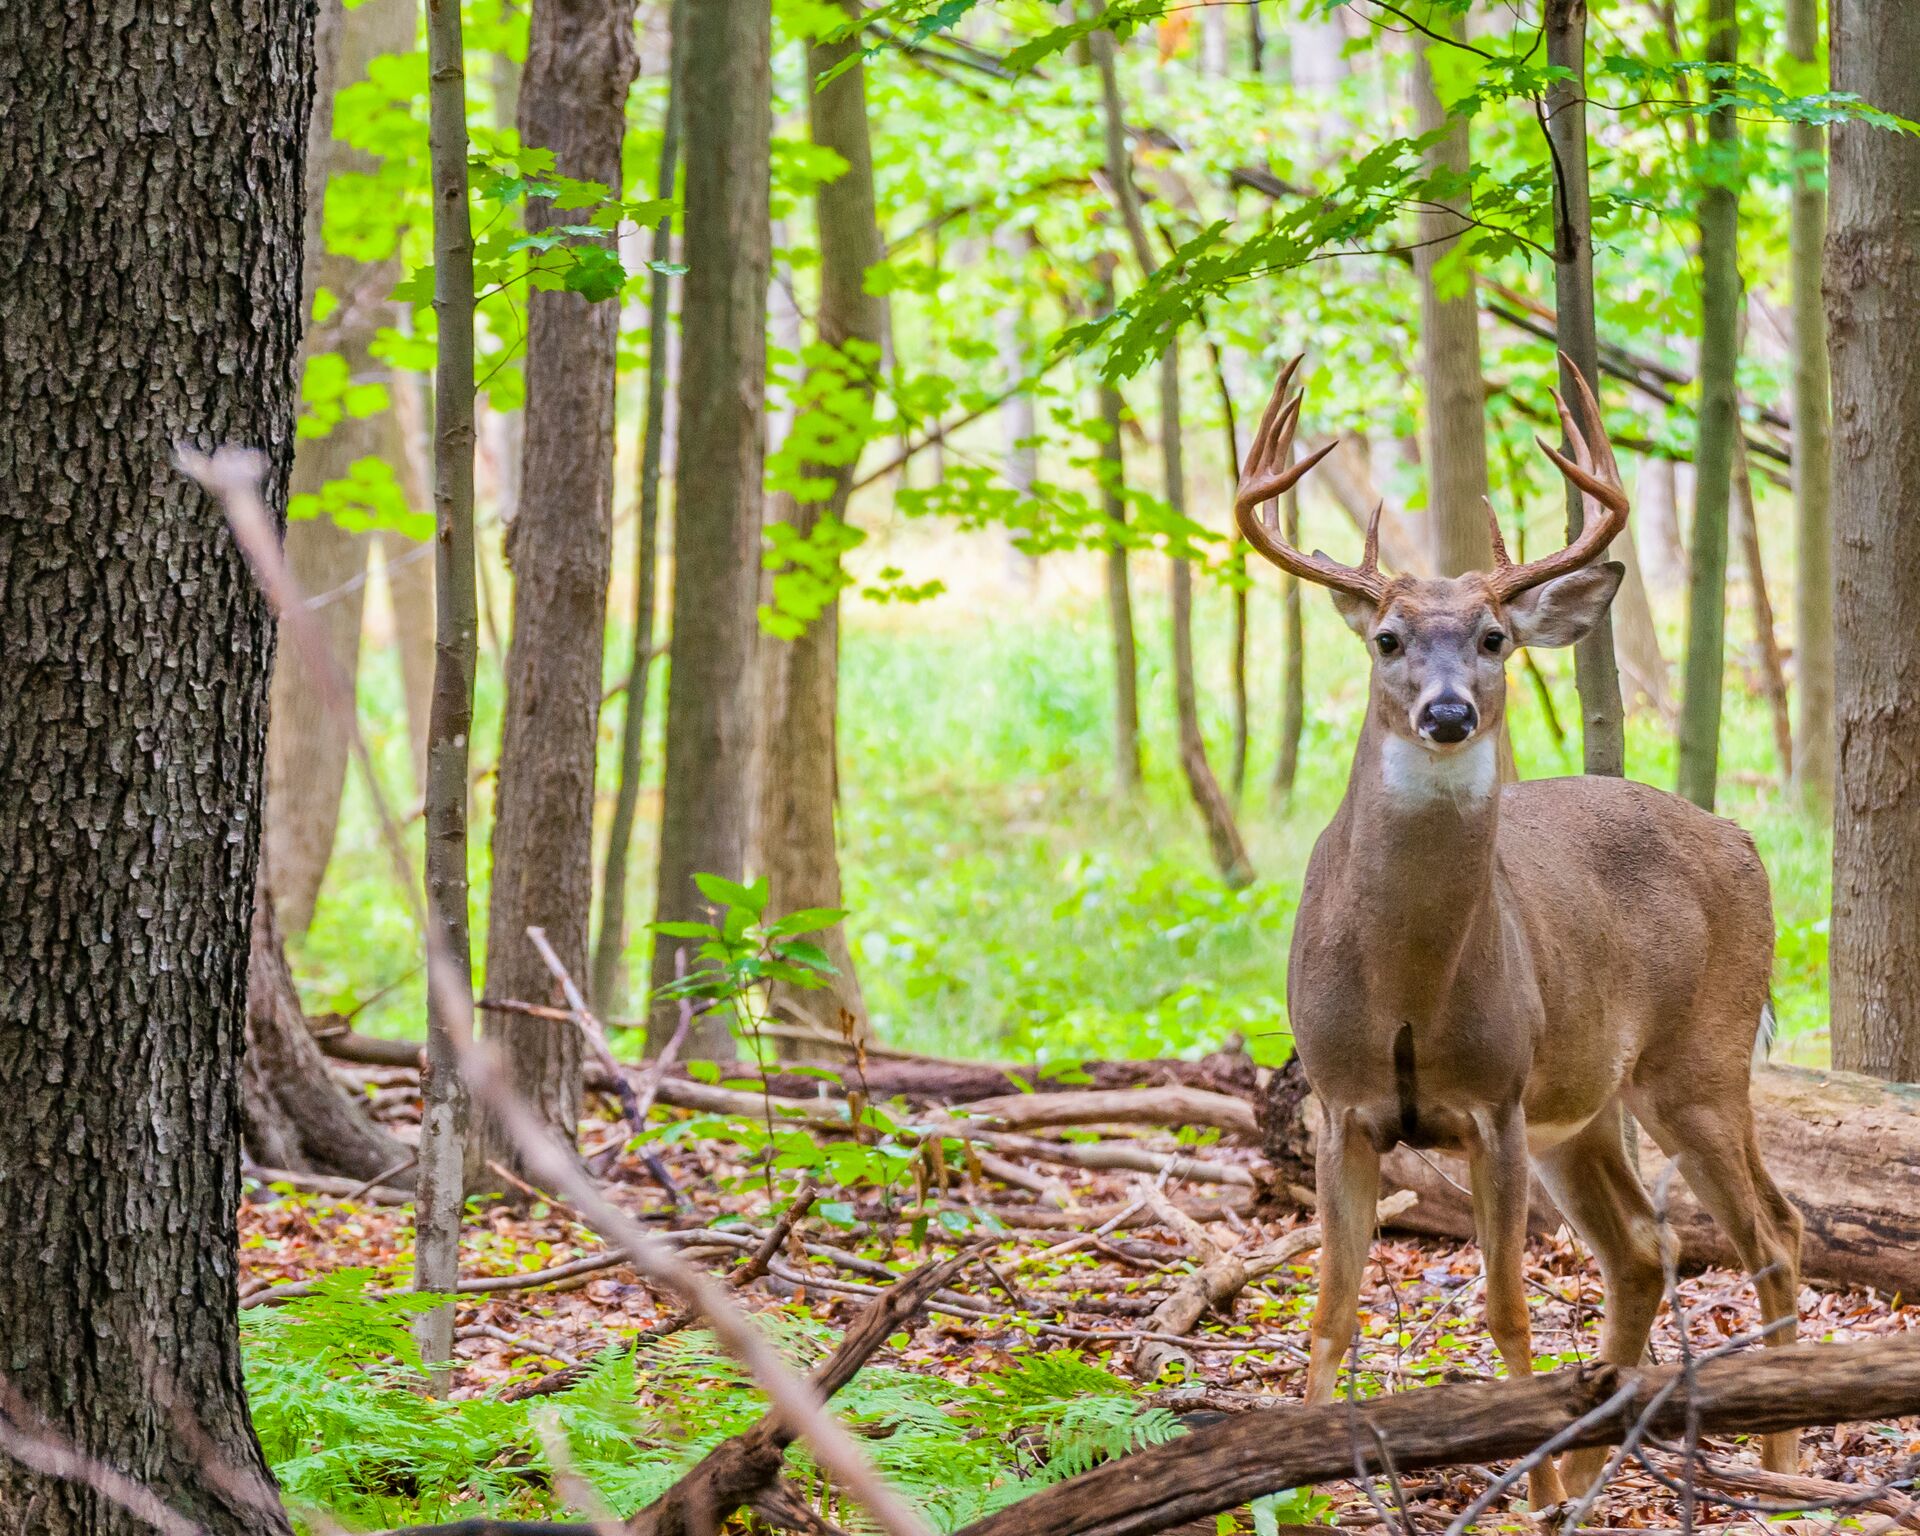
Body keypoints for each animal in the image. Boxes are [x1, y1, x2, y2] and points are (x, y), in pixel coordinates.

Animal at [1236, 353, 1804, 1497]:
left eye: (1494, 637)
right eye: (1388, 639)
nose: (1449, 712)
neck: (1407, 987)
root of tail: (1742, 837)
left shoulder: (1495, 1098)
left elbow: (1507, 1313)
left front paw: (1525, 1495)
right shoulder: (1341, 1100)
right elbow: (1330, 1312)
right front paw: (1297, 1480)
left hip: (1700, 1059)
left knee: (1773, 1232)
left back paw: (1777, 1465)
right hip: (1583, 1110)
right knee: (1645, 1247)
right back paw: (1593, 1464)